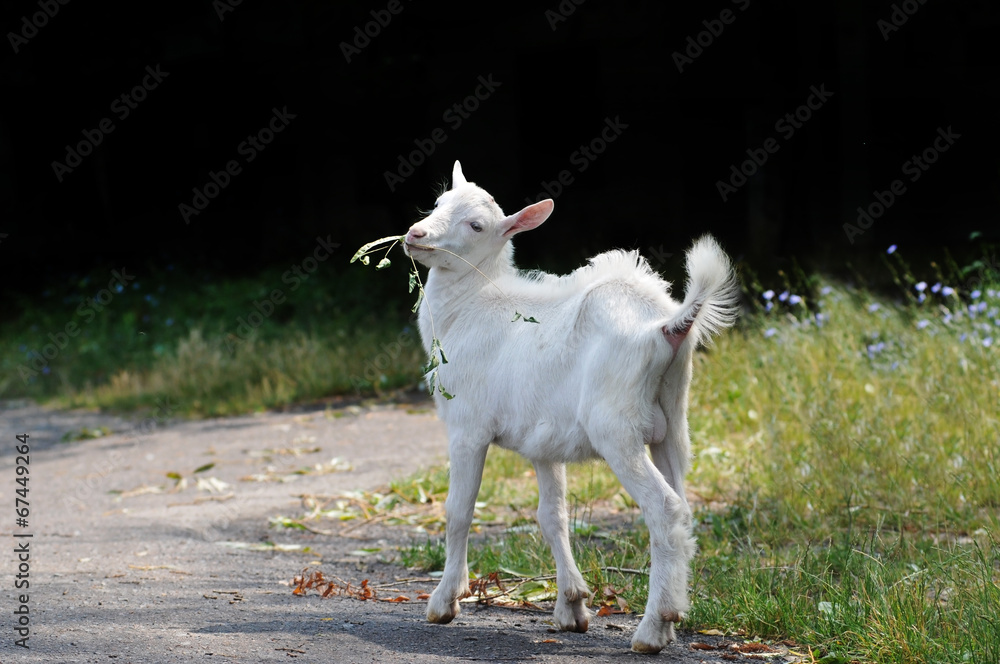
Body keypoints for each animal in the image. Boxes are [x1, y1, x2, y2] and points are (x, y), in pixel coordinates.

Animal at [403, 161, 739, 653]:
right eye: (438, 202)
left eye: (476, 225)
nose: (416, 234)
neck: (471, 306)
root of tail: (665, 326)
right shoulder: (544, 442)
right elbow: (553, 517)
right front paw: (572, 607)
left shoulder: (467, 427)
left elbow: (459, 509)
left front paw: (445, 601)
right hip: (674, 423)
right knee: (684, 504)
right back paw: (672, 618)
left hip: (616, 428)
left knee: (664, 508)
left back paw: (653, 628)